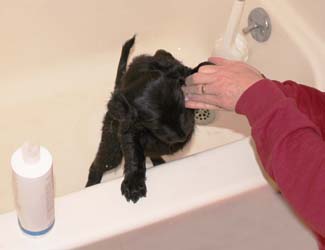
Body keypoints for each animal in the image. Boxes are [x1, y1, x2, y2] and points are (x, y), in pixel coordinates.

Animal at [85, 36, 210, 202]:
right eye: (155, 123)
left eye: (181, 105)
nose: (183, 137)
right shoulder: (128, 130)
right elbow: (134, 154)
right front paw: (133, 183)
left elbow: (188, 72)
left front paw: (205, 67)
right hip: (112, 149)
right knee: (97, 165)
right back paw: (90, 186)